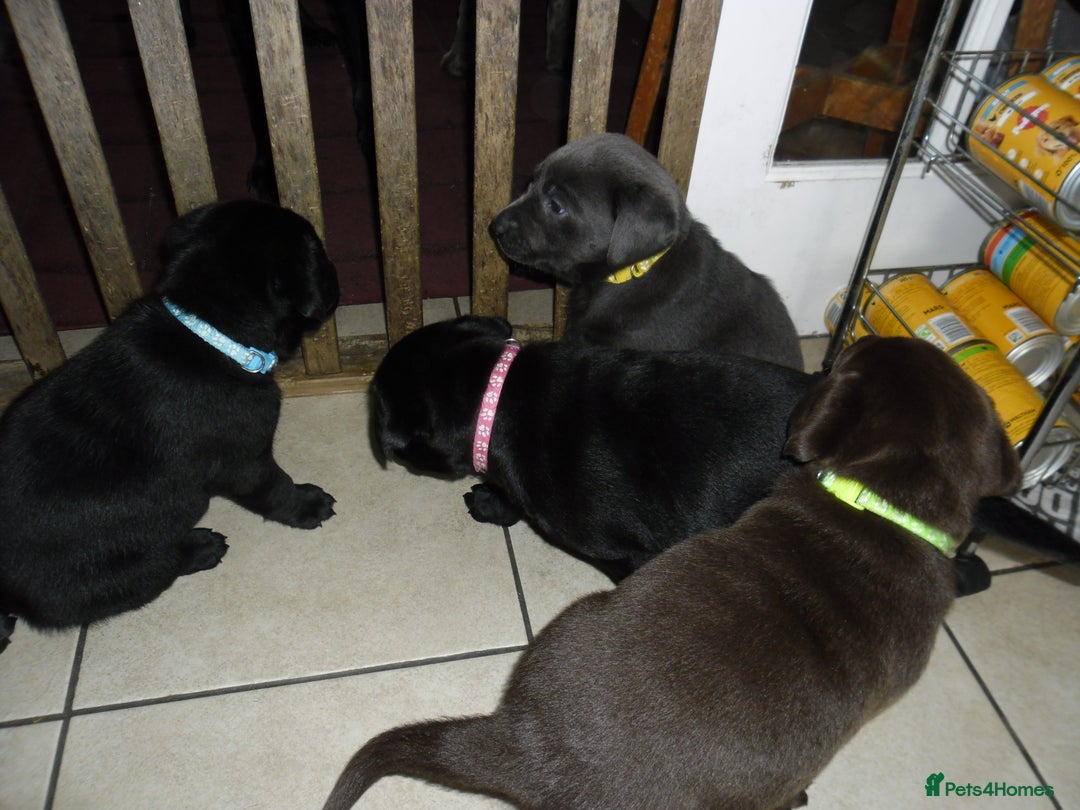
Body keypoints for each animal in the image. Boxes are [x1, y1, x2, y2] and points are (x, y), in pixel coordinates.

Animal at [0, 200, 339, 650]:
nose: (336, 273)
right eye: (318, 254)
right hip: (128, 567)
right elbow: (275, 488)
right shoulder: (245, 460)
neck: (210, 330)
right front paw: (306, 504)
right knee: (163, 564)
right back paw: (201, 547)